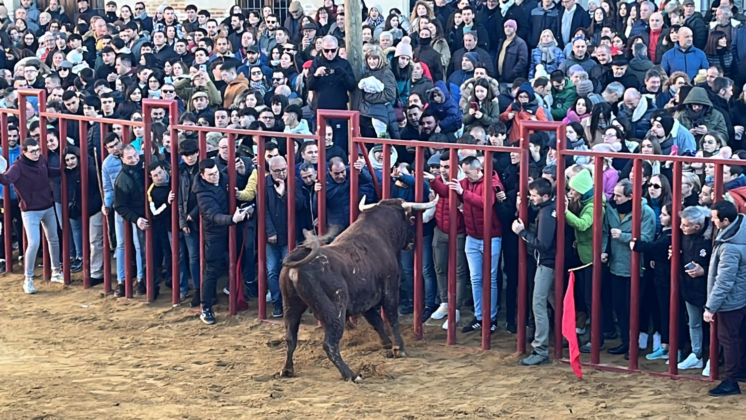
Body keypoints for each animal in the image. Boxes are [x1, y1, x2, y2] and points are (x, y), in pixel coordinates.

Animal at [278, 197, 436, 380]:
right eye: (410, 219)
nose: (412, 240)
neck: (380, 233)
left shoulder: (365, 298)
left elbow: (376, 321)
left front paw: (386, 344)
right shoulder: (390, 288)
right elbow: (391, 317)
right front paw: (399, 348)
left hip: (291, 307)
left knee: (290, 338)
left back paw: (287, 369)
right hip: (335, 310)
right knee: (330, 344)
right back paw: (351, 374)